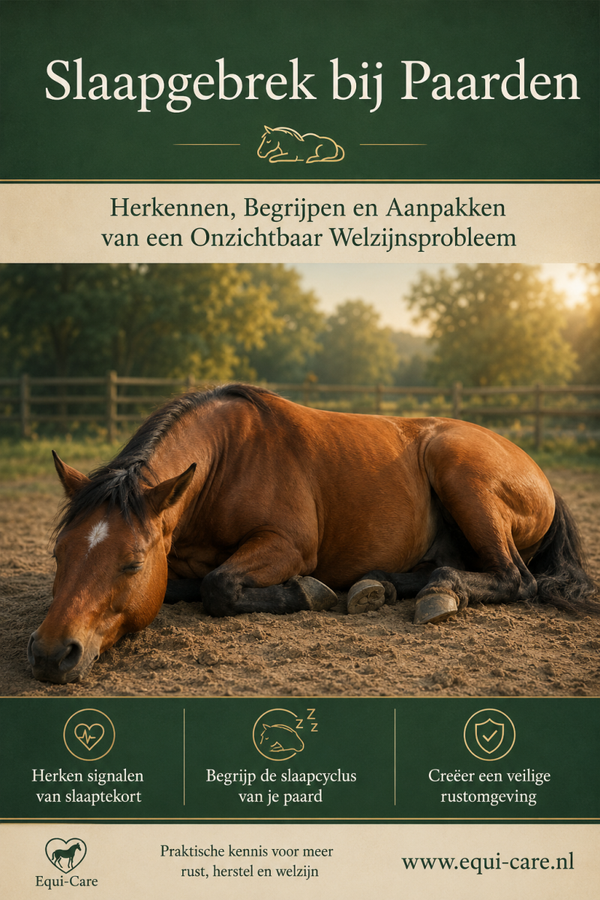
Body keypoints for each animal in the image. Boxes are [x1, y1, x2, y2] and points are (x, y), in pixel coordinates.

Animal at [28, 384, 596, 684]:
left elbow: (218, 586)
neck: (227, 457)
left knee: (515, 579)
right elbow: (188, 585)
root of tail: (537, 471)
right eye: (58, 555)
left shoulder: (287, 546)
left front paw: (307, 592)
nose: (52, 654)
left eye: (132, 563)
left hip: (459, 472)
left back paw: (438, 594)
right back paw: (379, 585)